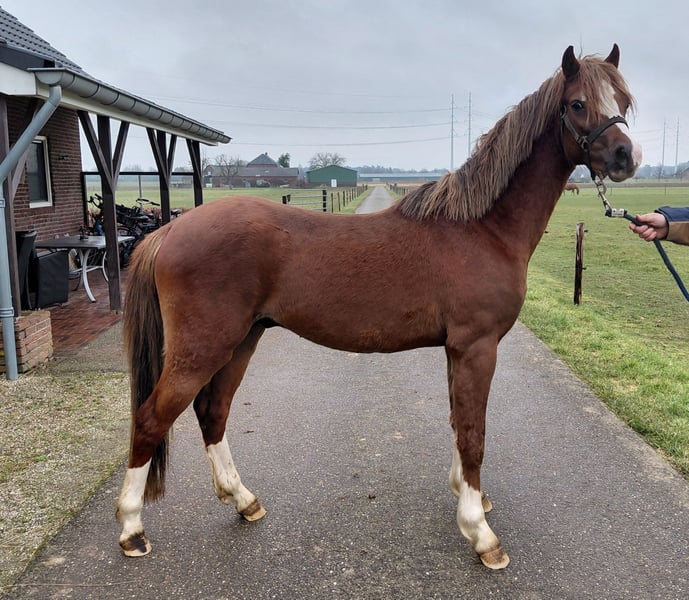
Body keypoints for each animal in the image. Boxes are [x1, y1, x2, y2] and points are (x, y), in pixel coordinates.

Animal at [116, 45, 640, 570]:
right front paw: (480, 532)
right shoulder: (477, 347)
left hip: (243, 339)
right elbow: (473, 433)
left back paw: (244, 501)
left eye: (623, 101)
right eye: (577, 103)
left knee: (213, 411)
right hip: (203, 348)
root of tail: (169, 230)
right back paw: (132, 529)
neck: (481, 228)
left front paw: (466, 496)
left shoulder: (456, 349)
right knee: (152, 419)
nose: (626, 156)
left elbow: (457, 422)